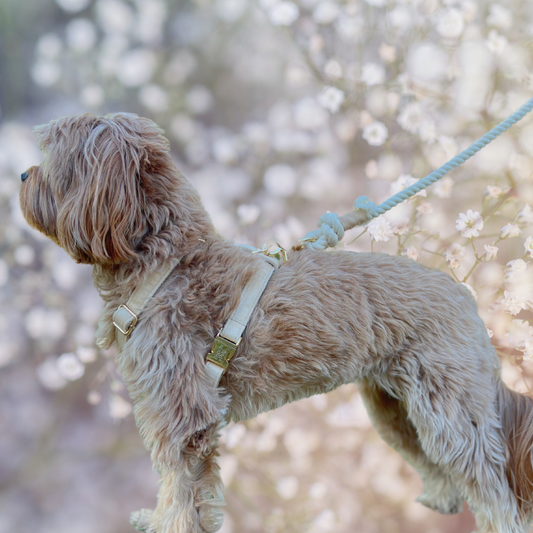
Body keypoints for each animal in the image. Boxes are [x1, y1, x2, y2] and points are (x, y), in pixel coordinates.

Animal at [18, 110, 532, 528]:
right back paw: (439, 500)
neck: (167, 263)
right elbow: (192, 491)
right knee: (436, 465)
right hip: (395, 409)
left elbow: (180, 488)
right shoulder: (181, 413)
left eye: (53, 159)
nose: (21, 173)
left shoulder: (184, 414)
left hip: (451, 415)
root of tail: (464, 294)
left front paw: (168, 525)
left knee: (493, 490)